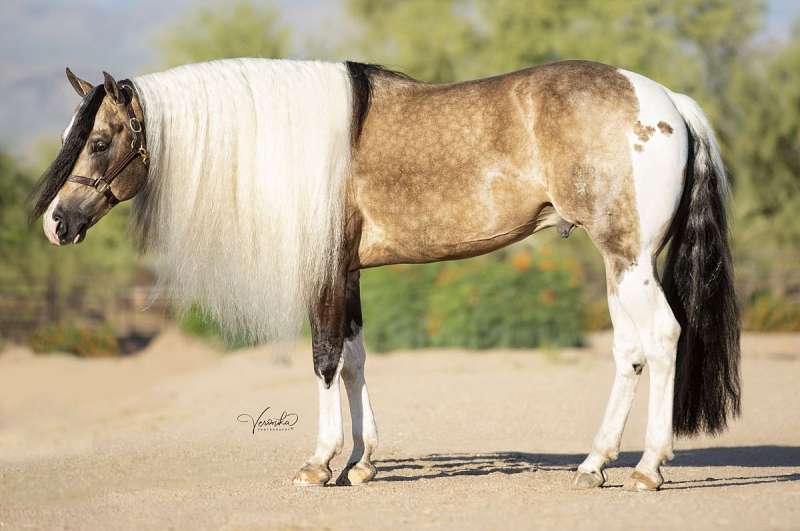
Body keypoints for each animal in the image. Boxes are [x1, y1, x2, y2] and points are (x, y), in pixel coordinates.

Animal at [32, 57, 744, 490]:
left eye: (100, 141)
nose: (56, 224)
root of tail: (666, 101)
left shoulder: (323, 273)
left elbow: (323, 359)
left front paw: (318, 465)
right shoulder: (347, 274)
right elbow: (354, 359)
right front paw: (362, 463)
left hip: (628, 259)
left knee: (662, 339)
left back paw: (648, 469)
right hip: (620, 264)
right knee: (629, 351)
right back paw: (594, 463)